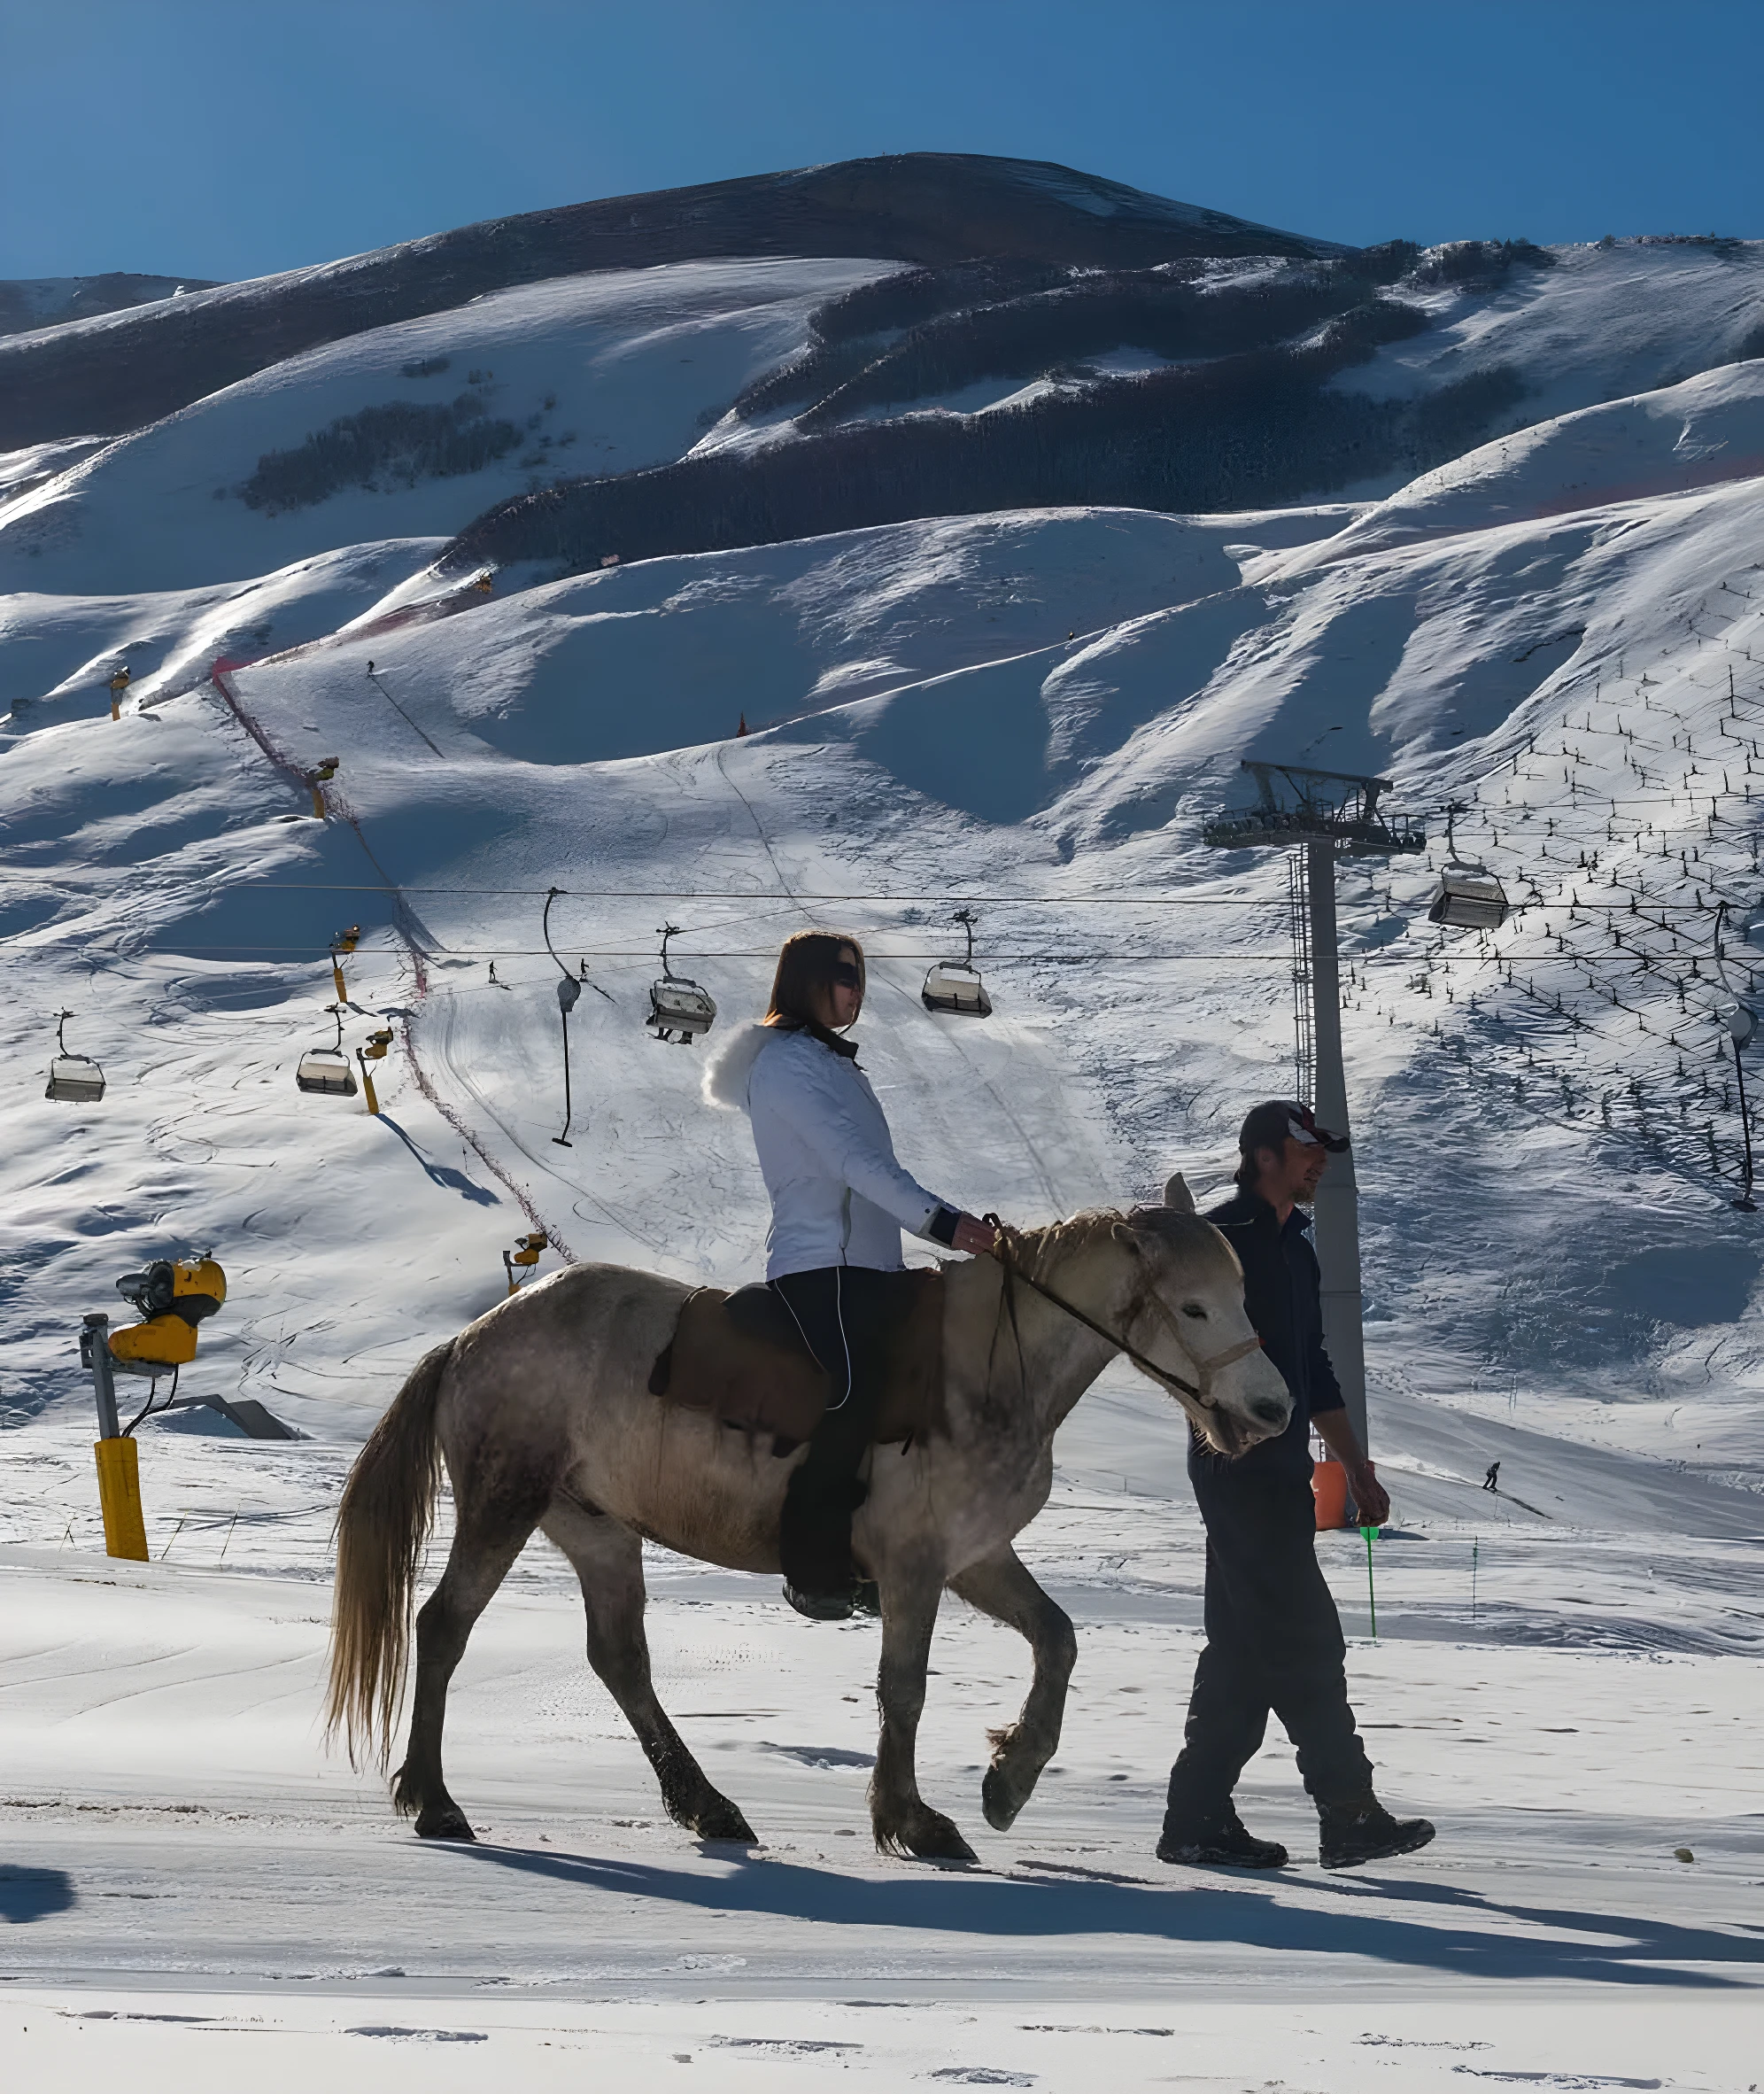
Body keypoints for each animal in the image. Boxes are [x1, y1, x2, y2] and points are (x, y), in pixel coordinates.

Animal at [330, 1198, 1288, 1867]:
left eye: (1245, 1295)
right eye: (1193, 1309)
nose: (1273, 1411)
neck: (986, 1369)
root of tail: (471, 1339)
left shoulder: (975, 1557)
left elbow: (1058, 1639)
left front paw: (1010, 1779)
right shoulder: (914, 1567)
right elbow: (905, 1689)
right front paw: (912, 1820)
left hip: (597, 1531)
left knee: (621, 1662)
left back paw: (708, 1805)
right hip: (505, 1504)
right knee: (443, 1627)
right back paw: (435, 1800)